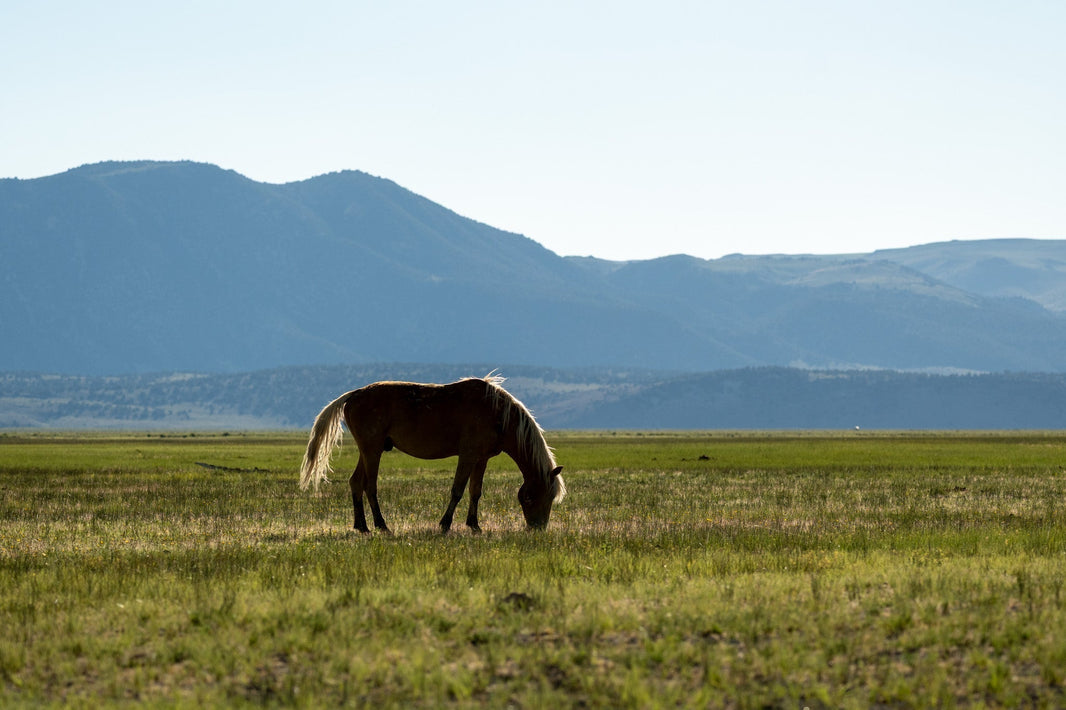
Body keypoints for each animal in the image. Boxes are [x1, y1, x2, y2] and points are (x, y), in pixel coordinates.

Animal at [299, 375, 566, 533]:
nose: (537, 528)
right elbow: (457, 490)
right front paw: (445, 524)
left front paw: (474, 525)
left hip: (368, 450)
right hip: (372, 450)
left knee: (356, 482)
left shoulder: (481, 459)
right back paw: (381, 525)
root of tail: (353, 395)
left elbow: (475, 491)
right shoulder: (468, 455)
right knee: (369, 486)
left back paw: (361, 526)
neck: (498, 413)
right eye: (533, 497)